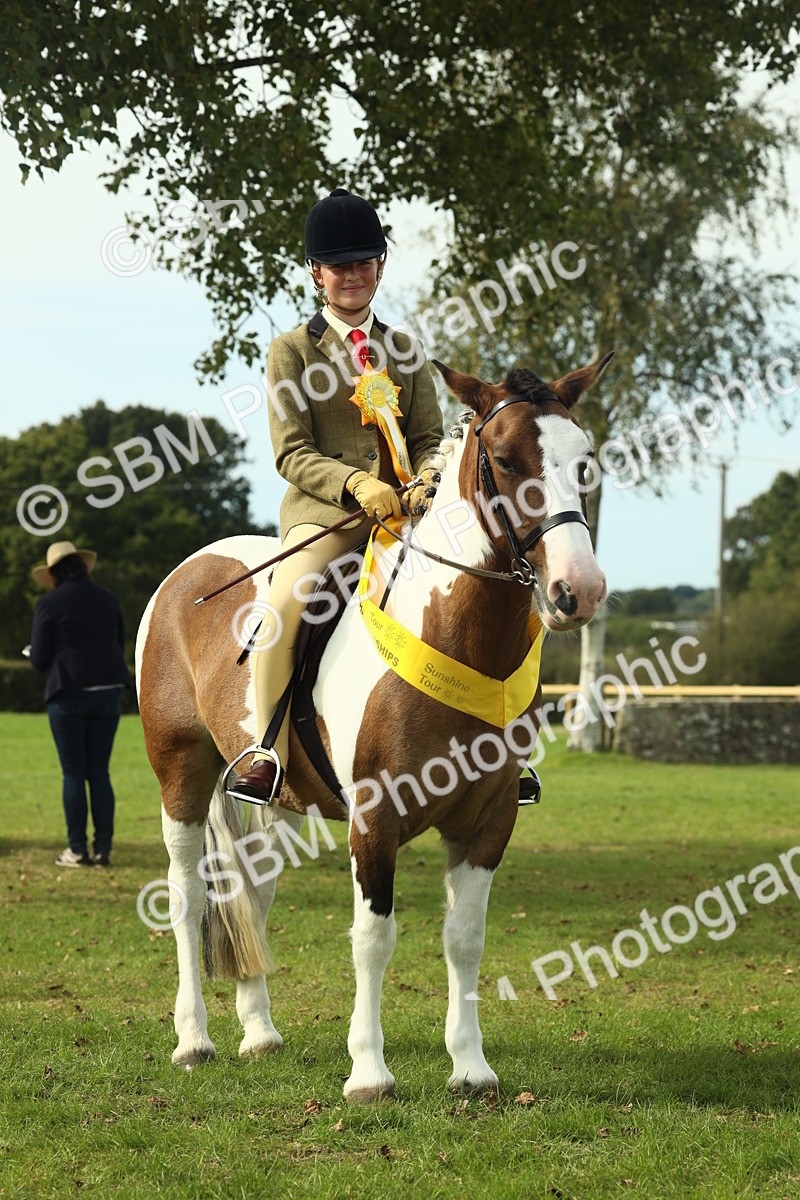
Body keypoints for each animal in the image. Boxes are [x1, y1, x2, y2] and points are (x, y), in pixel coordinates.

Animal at [135, 354, 611, 1100]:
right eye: (506, 460)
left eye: (585, 459)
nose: (578, 591)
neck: (453, 633)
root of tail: (190, 568)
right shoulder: (375, 818)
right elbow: (373, 939)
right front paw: (368, 1072)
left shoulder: (488, 821)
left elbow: (464, 938)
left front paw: (471, 1067)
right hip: (180, 770)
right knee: (186, 894)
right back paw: (194, 1040)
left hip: (273, 798)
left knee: (253, 891)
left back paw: (259, 1031)